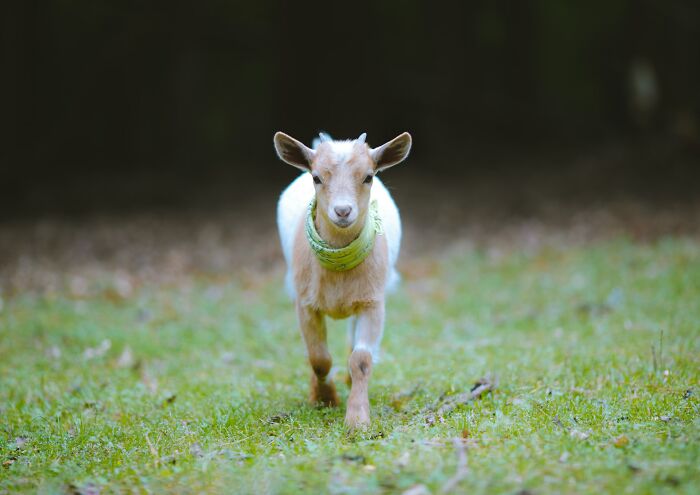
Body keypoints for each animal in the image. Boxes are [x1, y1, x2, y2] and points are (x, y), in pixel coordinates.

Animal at [274, 131, 412, 429]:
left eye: (368, 176)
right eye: (316, 177)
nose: (343, 211)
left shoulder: (373, 302)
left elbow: (361, 359)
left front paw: (357, 420)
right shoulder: (305, 302)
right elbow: (319, 358)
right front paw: (324, 399)